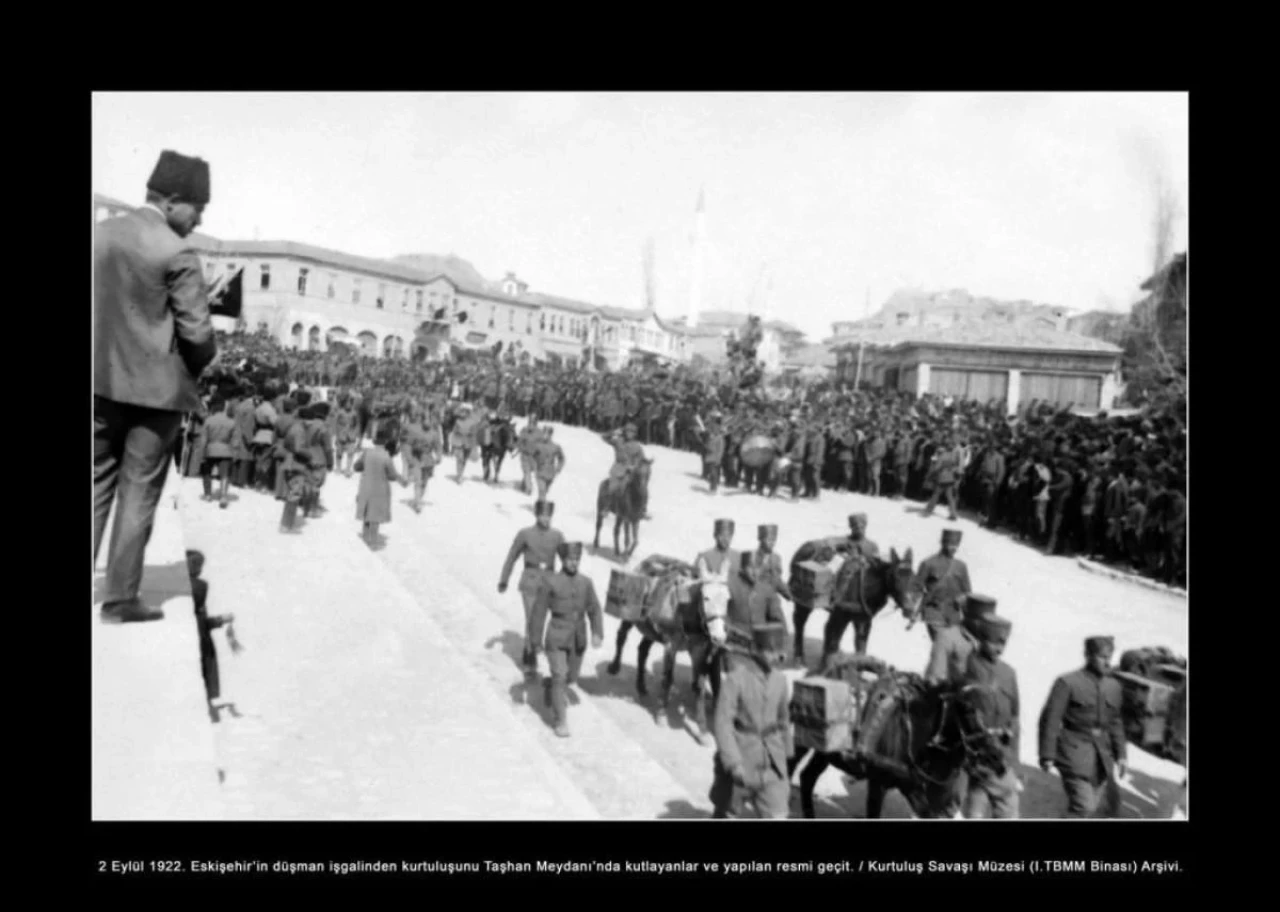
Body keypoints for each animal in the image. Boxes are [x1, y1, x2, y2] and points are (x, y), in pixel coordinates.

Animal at [783, 655, 1003, 819]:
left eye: (996, 710)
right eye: (968, 709)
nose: (996, 757)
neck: (913, 735)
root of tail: (816, 672)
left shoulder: (920, 793)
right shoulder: (878, 784)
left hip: (826, 753)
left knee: (807, 777)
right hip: (800, 742)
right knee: (791, 767)